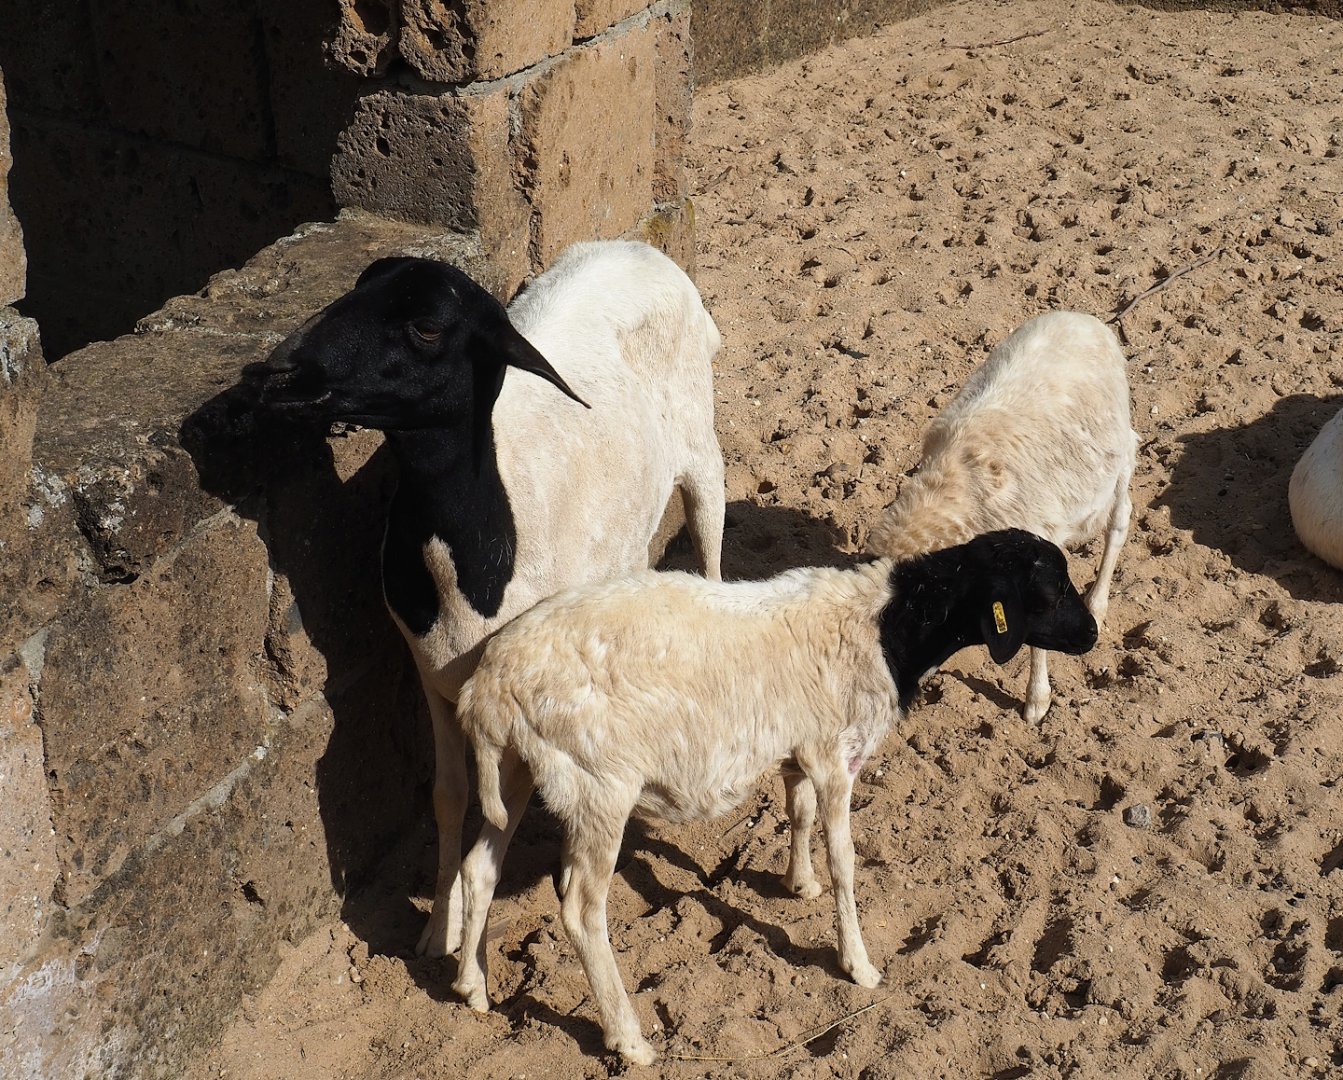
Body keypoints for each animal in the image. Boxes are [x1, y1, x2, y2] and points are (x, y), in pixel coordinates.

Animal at [257, 239, 726, 958]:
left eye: (426, 327)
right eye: (357, 288)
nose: (281, 369)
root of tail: (637, 247)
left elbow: (498, 818)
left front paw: (466, 942)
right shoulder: (430, 674)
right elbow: (450, 797)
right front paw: (435, 929)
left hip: (702, 452)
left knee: (713, 562)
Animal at [450, 528, 1099, 1065]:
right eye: (1050, 589)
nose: (1093, 634)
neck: (888, 628)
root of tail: (489, 686)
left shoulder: (802, 747)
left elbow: (799, 810)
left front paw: (798, 882)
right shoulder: (836, 754)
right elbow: (845, 861)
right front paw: (859, 964)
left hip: (519, 769)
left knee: (479, 866)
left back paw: (472, 986)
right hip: (600, 785)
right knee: (582, 909)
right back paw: (629, 1038)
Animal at [865, 310, 1137, 723]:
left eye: (922, 614)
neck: (954, 486)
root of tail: (1082, 317)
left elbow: (1040, 636)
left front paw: (1037, 701)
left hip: (1121, 452)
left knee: (1119, 522)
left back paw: (1098, 602)